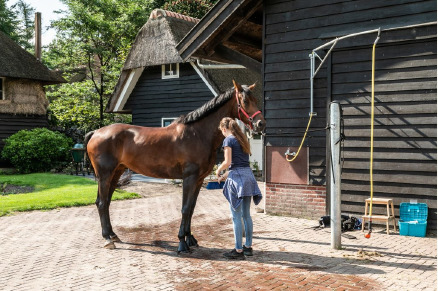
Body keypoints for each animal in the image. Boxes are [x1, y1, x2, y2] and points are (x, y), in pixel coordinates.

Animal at [84, 80, 266, 253]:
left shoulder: (199, 180)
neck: (198, 134)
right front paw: (181, 243)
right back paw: (107, 239)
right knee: (101, 203)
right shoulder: (189, 178)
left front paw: (190, 239)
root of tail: (96, 132)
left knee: (106, 202)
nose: (261, 124)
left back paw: (113, 235)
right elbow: (185, 209)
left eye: (256, 100)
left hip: (116, 173)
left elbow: (191, 208)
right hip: (105, 175)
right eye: (245, 101)